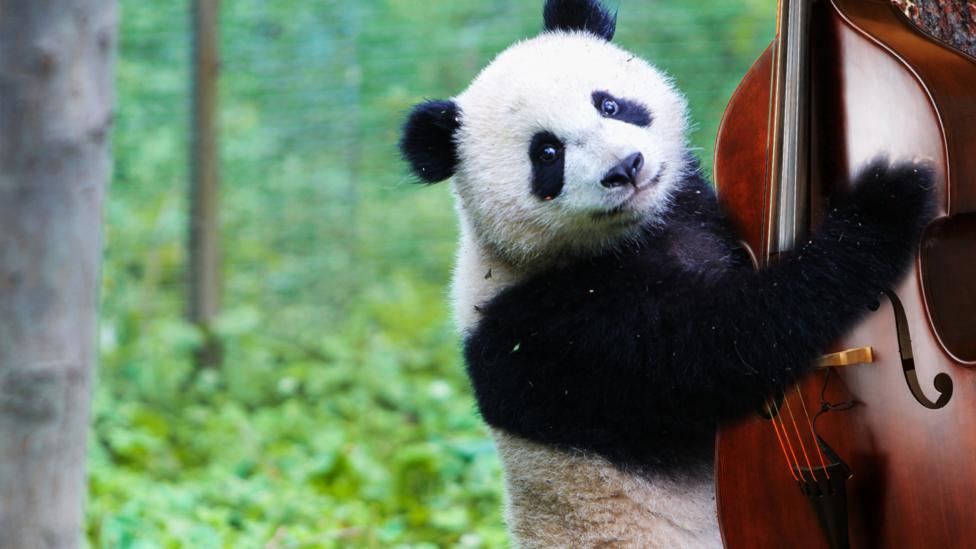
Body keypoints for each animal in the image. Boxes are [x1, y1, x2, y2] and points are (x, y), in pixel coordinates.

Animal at [399, 0, 934, 546]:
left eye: (609, 105)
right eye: (547, 153)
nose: (626, 166)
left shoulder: (686, 208)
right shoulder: (560, 329)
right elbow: (734, 343)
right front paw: (886, 201)